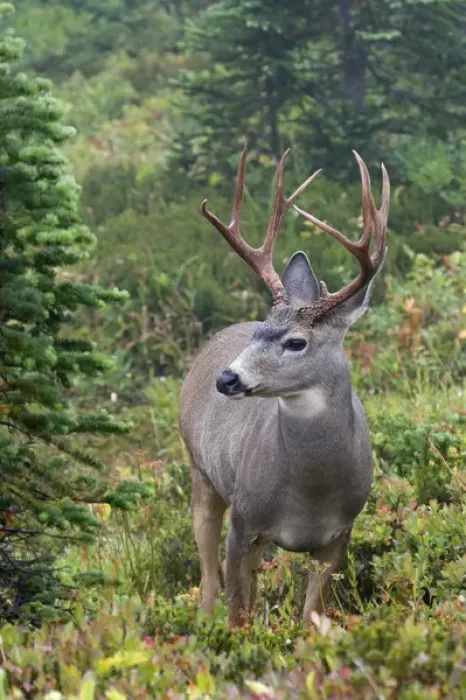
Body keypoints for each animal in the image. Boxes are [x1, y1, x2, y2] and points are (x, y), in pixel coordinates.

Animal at [179, 145, 390, 628]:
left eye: (296, 342)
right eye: (260, 330)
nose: (227, 378)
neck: (310, 495)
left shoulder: (340, 532)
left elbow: (311, 614)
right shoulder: (244, 520)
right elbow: (237, 612)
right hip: (201, 471)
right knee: (208, 579)